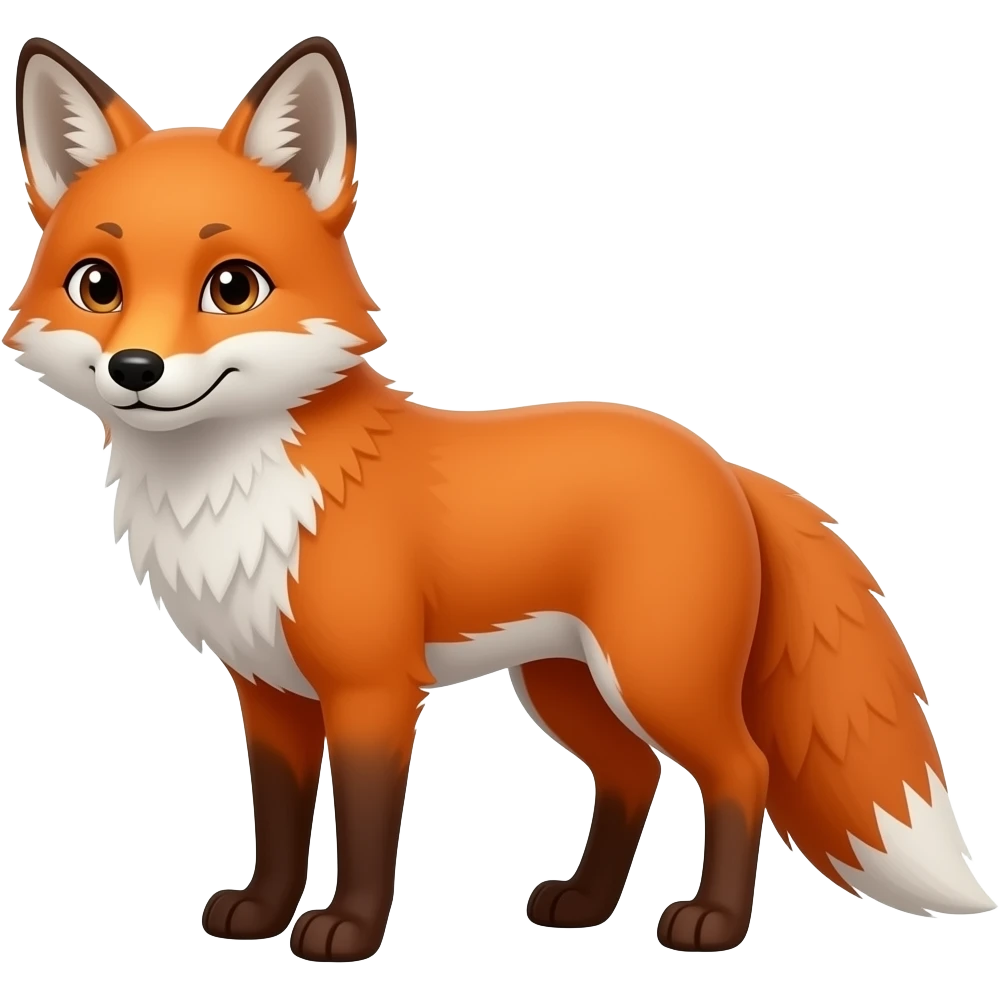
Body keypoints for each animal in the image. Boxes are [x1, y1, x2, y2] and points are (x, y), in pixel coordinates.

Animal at [6, 33, 995, 964]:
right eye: (98, 284)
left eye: (232, 286)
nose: (136, 369)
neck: (235, 492)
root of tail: (720, 461)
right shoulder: (269, 690)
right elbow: (280, 821)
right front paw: (259, 912)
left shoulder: (373, 688)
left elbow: (365, 827)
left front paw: (347, 931)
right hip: (566, 684)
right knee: (633, 774)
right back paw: (584, 904)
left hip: (655, 676)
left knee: (737, 770)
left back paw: (711, 921)